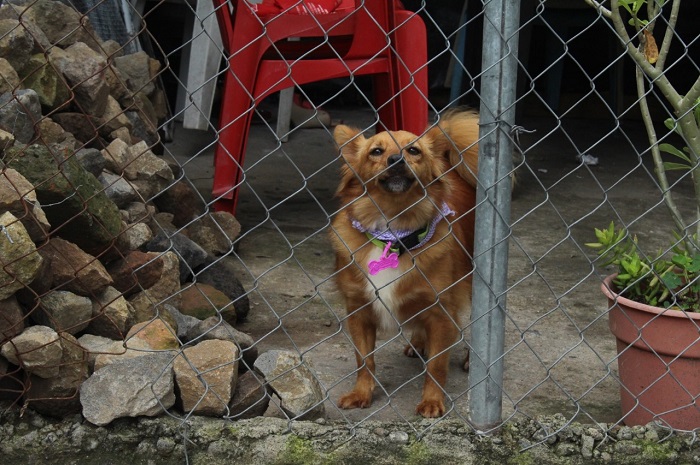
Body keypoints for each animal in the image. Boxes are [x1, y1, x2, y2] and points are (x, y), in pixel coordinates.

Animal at [330, 111, 478, 416]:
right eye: (376, 151)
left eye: (413, 150)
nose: (396, 159)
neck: (394, 231)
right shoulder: (358, 310)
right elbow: (364, 360)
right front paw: (361, 394)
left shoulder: (441, 311)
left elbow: (436, 365)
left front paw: (432, 401)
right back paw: (419, 343)